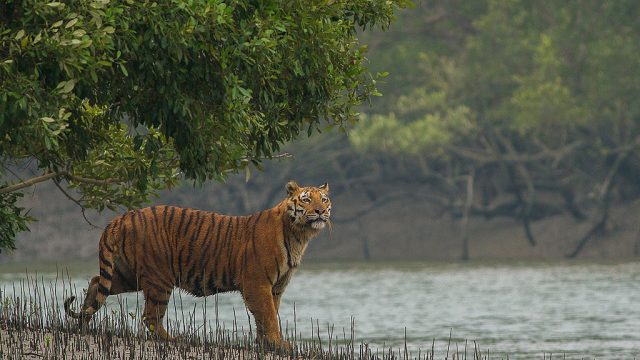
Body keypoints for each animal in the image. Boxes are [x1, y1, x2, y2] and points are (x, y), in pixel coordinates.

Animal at [65, 181, 332, 350]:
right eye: (306, 200)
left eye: (324, 199)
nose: (320, 211)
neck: (299, 235)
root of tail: (122, 217)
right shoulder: (257, 283)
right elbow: (268, 315)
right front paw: (279, 344)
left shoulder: (276, 287)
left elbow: (268, 315)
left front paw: (265, 344)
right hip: (159, 278)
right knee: (150, 316)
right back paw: (174, 339)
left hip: (127, 274)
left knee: (96, 282)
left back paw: (84, 323)